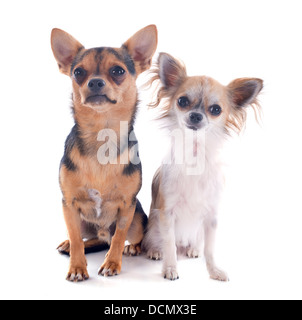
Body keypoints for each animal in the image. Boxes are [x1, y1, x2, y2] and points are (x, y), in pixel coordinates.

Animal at [50, 25, 157, 280]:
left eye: (118, 71)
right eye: (78, 72)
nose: (95, 82)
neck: (101, 135)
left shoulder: (127, 206)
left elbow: (118, 237)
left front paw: (112, 263)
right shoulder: (69, 205)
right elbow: (76, 238)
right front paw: (77, 267)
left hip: (137, 220)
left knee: (119, 238)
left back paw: (132, 247)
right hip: (82, 220)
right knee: (90, 238)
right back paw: (69, 245)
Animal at [142, 52, 262, 280]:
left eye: (216, 110)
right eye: (182, 101)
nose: (196, 115)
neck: (195, 155)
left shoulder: (211, 218)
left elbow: (210, 249)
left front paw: (214, 271)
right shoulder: (166, 214)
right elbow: (169, 245)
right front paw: (170, 268)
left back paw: (192, 249)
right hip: (153, 223)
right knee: (159, 241)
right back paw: (154, 250)